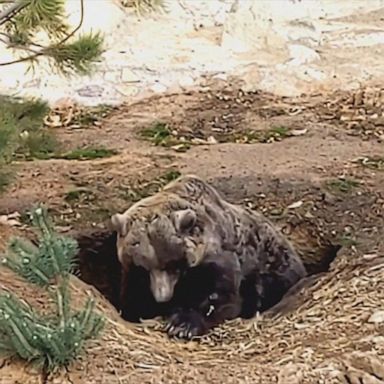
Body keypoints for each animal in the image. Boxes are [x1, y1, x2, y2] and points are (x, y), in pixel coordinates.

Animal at [110, 174, 306, 340]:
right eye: (143, 268)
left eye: (174, 264)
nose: (162, 296)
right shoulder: (131, 274)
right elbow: (133, 299)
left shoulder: (219, 260)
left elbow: (219, 297)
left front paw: (182, 325)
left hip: (275, 267)